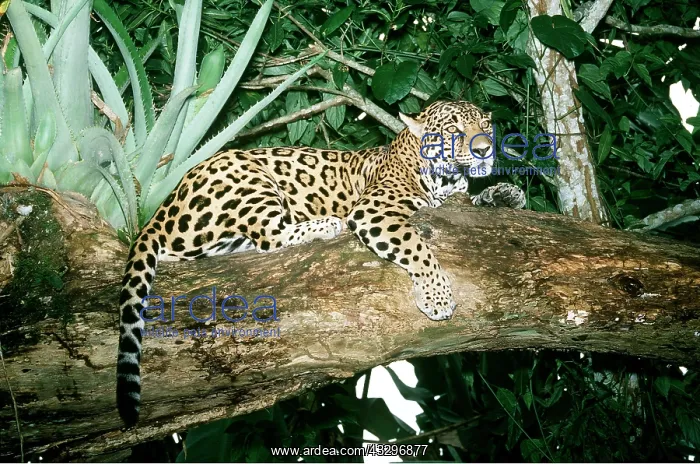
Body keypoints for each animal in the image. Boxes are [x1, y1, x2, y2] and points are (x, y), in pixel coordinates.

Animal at [116, 100, 526, 426]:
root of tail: (162, 208)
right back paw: (325, 225)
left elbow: (475, 200)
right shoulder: (374, 211)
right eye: (454, 130)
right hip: (248, 178)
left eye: (485, 125)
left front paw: (506, 193)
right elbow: (417, 246)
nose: (484, 150)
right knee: (266, 235)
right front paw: (437, 296)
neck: (444, 181)